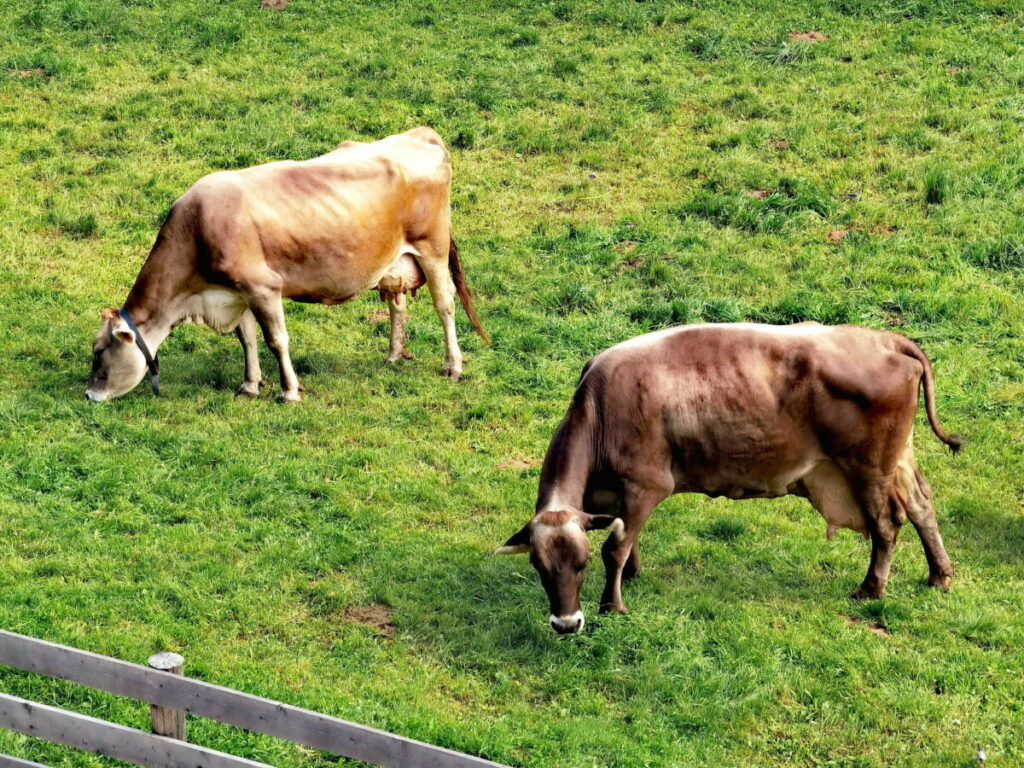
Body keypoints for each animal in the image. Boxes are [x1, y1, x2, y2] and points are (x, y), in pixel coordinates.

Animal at [88, 126, 487, 403]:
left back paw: (453, 365)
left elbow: (276, 340)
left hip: (432, 248)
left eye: (99, 351)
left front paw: (289, 391)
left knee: (445, 304)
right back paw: (393, 355)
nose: (90, 395)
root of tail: (419, 133)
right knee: (396, 304)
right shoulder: (237, 292)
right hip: (394, 262)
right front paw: (250, 385)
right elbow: (247, 339)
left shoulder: (263, 286)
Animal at [499, 321, 962, 634]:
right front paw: (633, 574)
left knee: (887, 524)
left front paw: (613, 605)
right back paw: (939, 574)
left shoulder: (645, 486)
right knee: (921, 505)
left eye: (581, 564)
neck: (601, 407)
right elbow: (628, 539)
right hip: (898, 459)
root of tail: (886, 339)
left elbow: (615, 547)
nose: (565, 623)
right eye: (539, 566)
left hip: (867, 468)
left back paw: (871, 588)